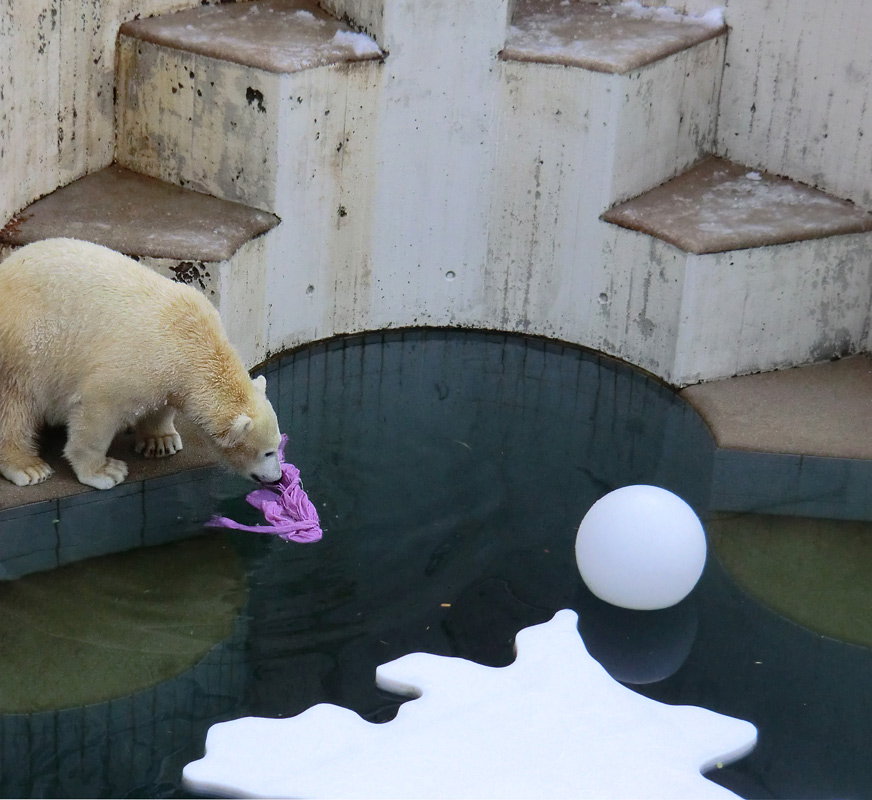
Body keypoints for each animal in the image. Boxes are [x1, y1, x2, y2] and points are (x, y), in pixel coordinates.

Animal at [0, 234, 282, 490]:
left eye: (279, 445)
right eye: (267, 452)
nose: (278, 477)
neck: (193, 343)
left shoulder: (168, 371)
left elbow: (162, 404)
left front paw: (160, 441)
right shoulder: (135, 362)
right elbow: (97, 411)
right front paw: (104, 471)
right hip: (23, 346)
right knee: (15, 406)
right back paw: (28, 467)